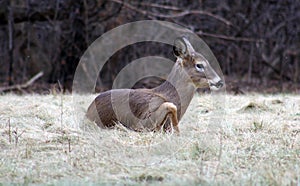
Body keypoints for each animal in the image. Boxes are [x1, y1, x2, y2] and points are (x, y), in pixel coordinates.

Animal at [85, 36, 224, 134]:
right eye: (199, 65)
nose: (220, 82)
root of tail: (88, 112)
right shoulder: (142, 122)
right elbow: (170, 106)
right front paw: (176, 133)